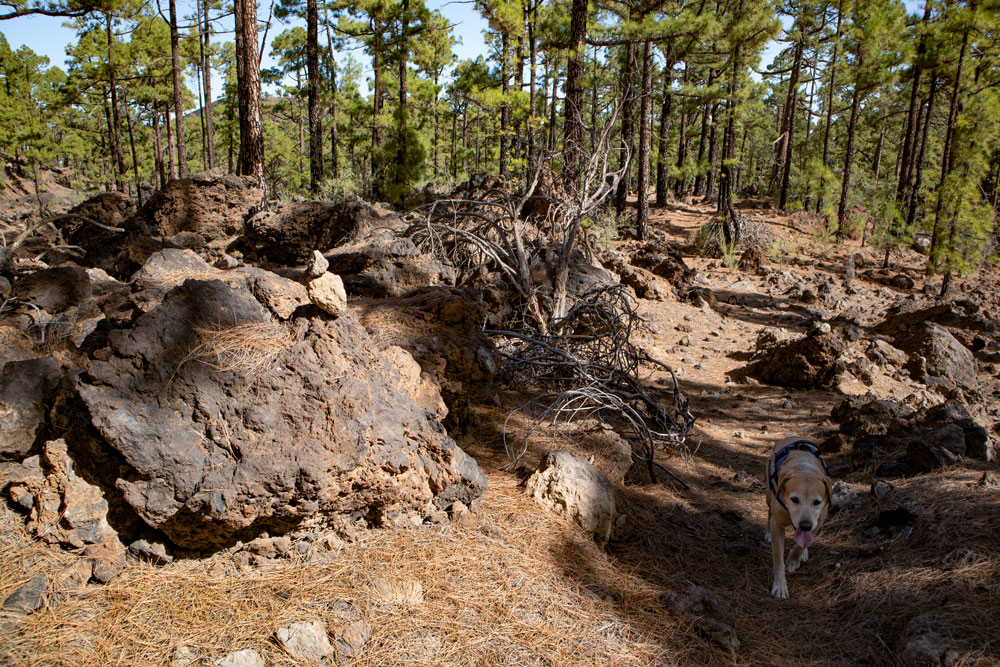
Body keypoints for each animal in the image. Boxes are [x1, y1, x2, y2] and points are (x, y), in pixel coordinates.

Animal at [768, 438, 832, 600]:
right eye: (794, 499)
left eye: (817, 502)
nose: (805, 525)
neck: (803, 468)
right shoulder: (777, 525)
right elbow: (778, 559)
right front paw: (780, 585)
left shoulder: (818, 521)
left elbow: (800, 545)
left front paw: (794, 558)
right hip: (768, 497)